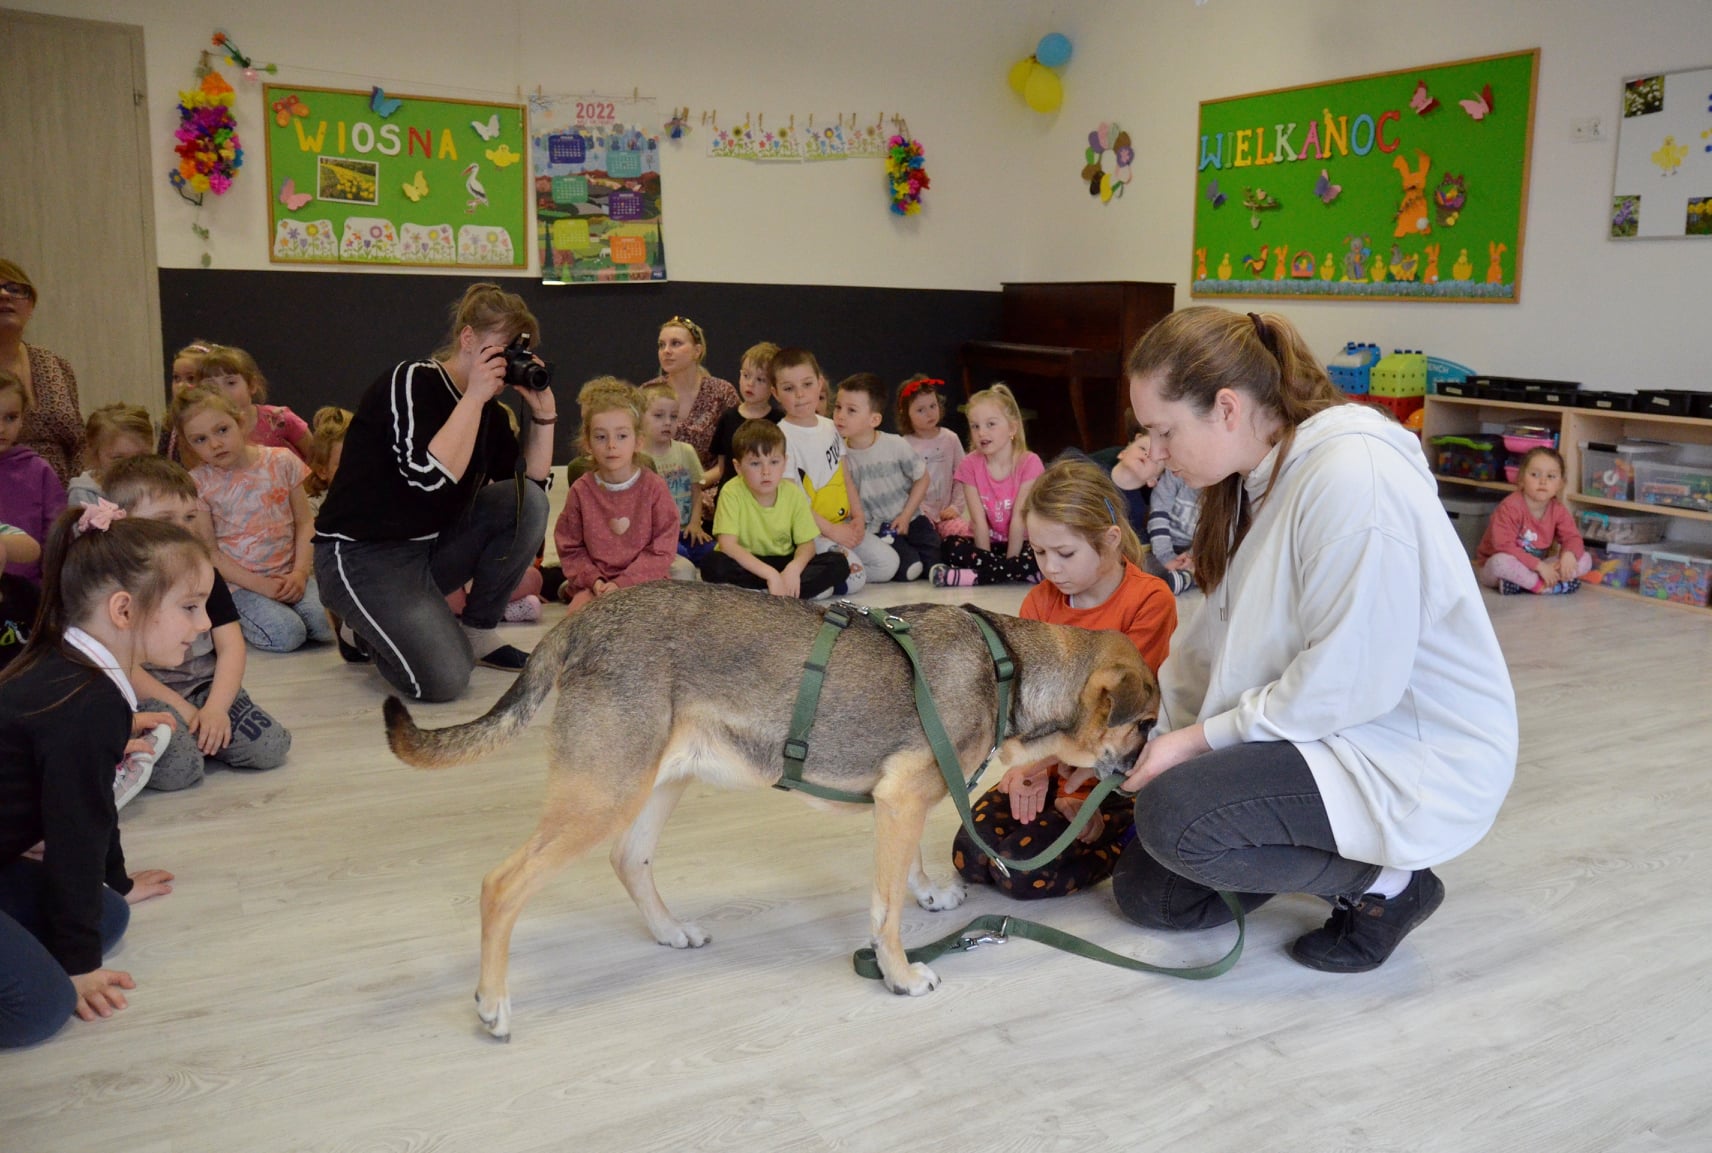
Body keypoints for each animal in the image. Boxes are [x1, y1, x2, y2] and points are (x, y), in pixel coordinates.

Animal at [386, 579, 1157, 1041]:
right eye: (1145, 724)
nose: (1147, 768)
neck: (1009, 667)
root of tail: (583, 620)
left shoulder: (901, 801)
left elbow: (906, 871)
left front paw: (931, 894)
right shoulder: (903, 799)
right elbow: (885, 910)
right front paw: (900, 974)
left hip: (657, 781)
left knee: (628, 857)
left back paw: (670, 931)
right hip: (603, 792)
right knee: (502, 886)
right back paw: (493, 1003)